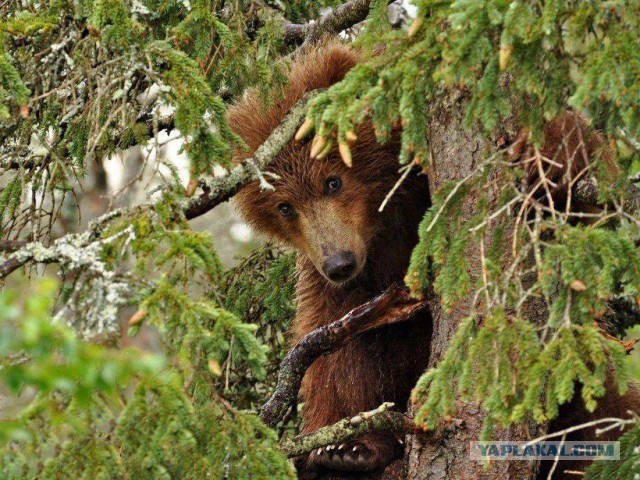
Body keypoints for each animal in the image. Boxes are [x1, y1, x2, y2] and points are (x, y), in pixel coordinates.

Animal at [230, 41, 640, 476]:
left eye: (333, 180)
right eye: (284, 207)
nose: (339, 263)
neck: (385, 219)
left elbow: (581, 182)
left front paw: (540, 155)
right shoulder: (340, 281)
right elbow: (332, 351)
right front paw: (339, 443)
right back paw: (354, 451)